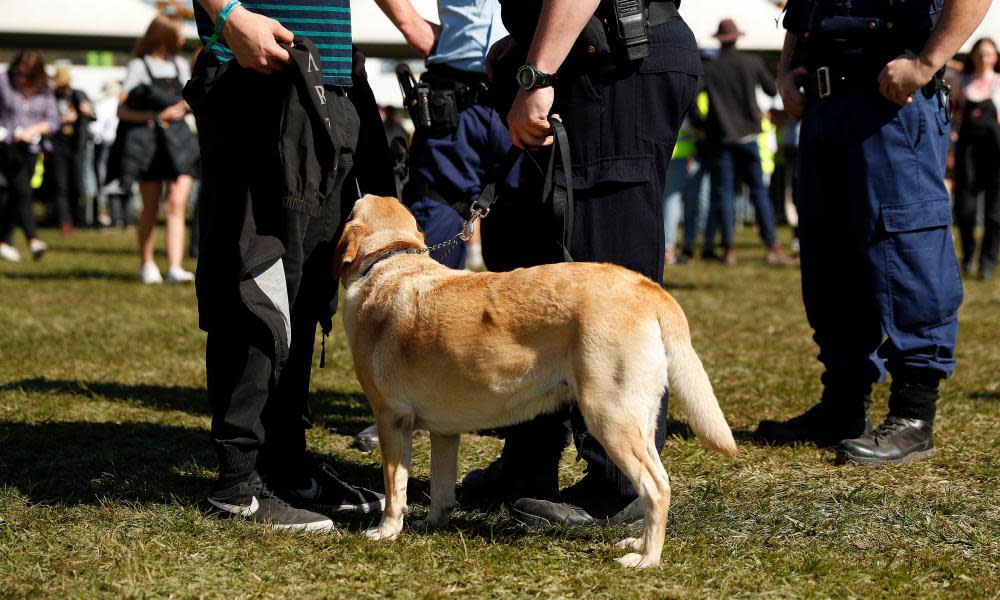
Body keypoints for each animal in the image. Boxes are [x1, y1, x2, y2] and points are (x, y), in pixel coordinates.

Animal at [334, 196, 736, 568]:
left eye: (351, 208)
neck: (389, 261)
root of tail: (646, 287)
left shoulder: (391, 419)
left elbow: (394, 487)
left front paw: (386, 531)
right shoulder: (444, 431)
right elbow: (441, 486)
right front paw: (432, 523)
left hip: (608, 417)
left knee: (656, 488)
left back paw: (646, 559)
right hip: (637, 420)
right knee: (659, 483)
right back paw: (637, 543)